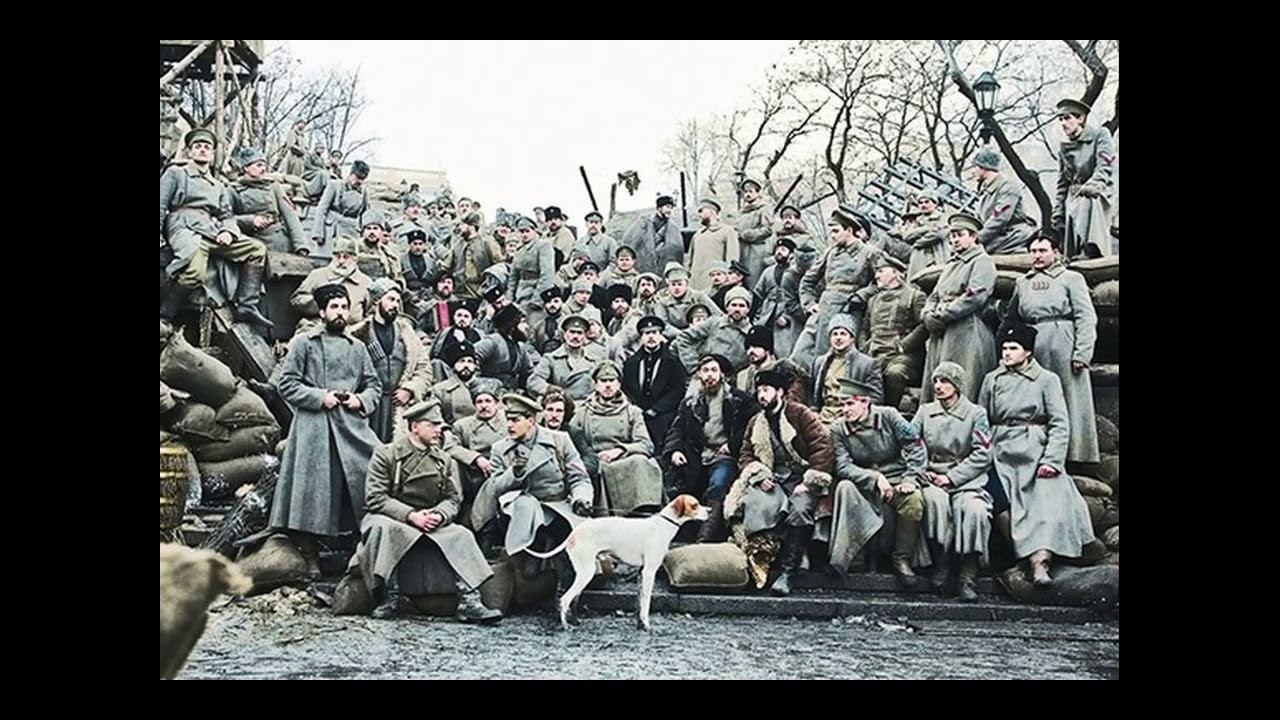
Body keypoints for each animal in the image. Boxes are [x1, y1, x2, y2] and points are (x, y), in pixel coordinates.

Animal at [523, 494, 708, 630]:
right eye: (695, 505)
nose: (710, 510)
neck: (662, 525)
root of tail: (574, 533)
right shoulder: (649, 572)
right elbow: (646, 602)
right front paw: (646, 625)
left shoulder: (641, 573)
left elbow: (639, 602)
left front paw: (640, 624)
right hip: (586, 573)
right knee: (565, 600)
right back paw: (565, 626)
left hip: (581, 573)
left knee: (573, 599)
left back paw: (574, 622)